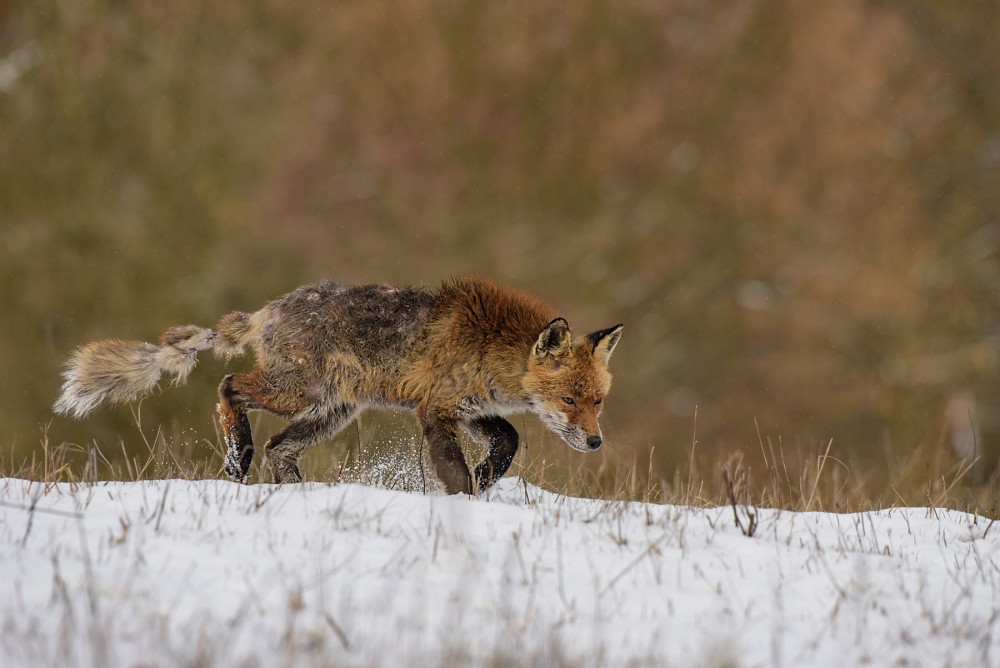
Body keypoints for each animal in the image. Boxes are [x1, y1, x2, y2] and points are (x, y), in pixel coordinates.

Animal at [54, 274, 620, 494]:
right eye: (568, 399)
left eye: (598, 401)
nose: (596, 443)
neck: (488, 349)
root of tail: (270, 309)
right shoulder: (435, 409)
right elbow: (454, 469)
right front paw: (465, 497)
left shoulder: (472, 409)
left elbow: (510, 440)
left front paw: (486, 480)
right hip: (294, 394)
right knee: (229, 386)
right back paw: (238, 456)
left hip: (330, 412)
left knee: (280, 448)